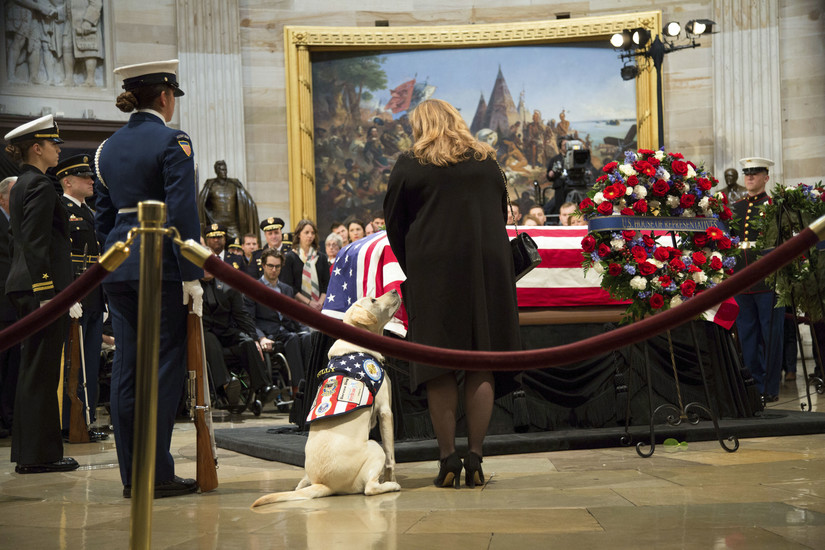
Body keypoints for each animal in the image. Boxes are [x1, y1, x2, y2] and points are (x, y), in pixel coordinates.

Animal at [253, 292, 404, 512]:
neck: (357, 346)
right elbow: (391, 456)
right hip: (374, 447)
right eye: (373, 300)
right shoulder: (385, 411)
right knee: (370, 488)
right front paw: (392, 478)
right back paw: (391, 486)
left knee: (300, 485)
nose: (394, 291)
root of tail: (322, 484)